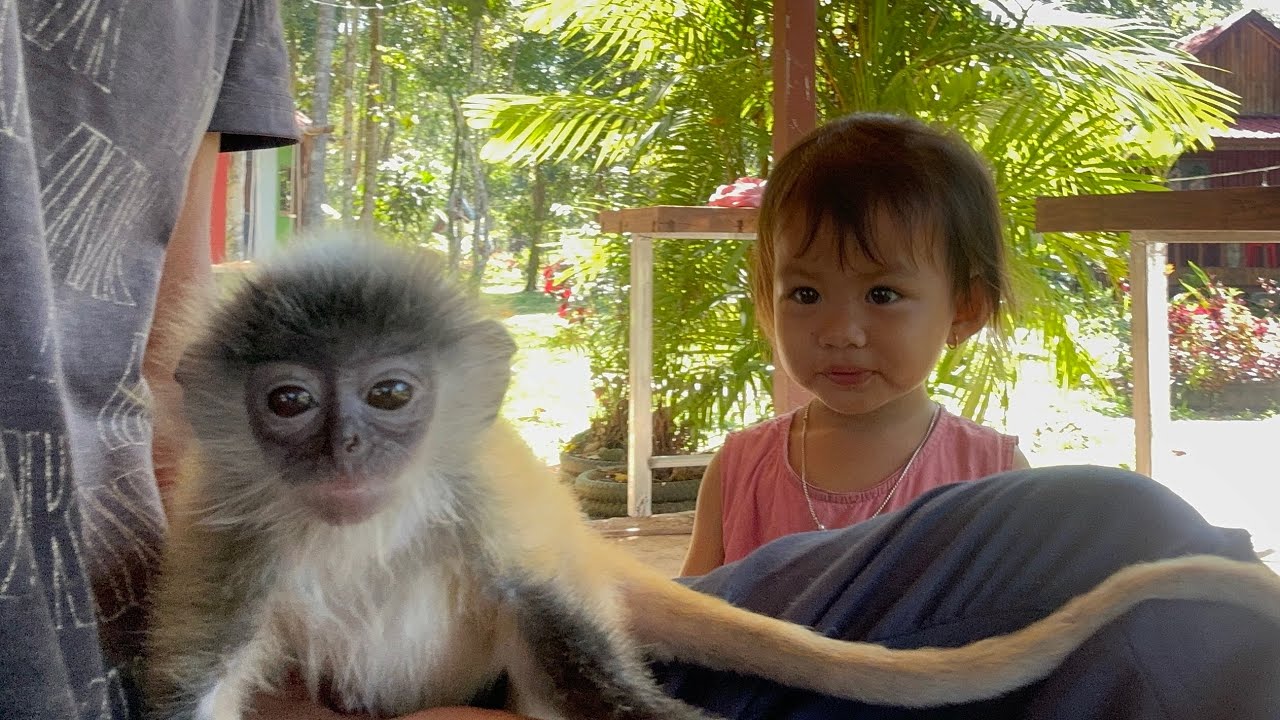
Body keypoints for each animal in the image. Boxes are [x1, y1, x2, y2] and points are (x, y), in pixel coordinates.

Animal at [144, 237, 1280, 720]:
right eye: (291, 401)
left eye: (387, 395)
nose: (344, 453)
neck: (367, 530)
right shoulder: (230, 544)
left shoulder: (498, 526)